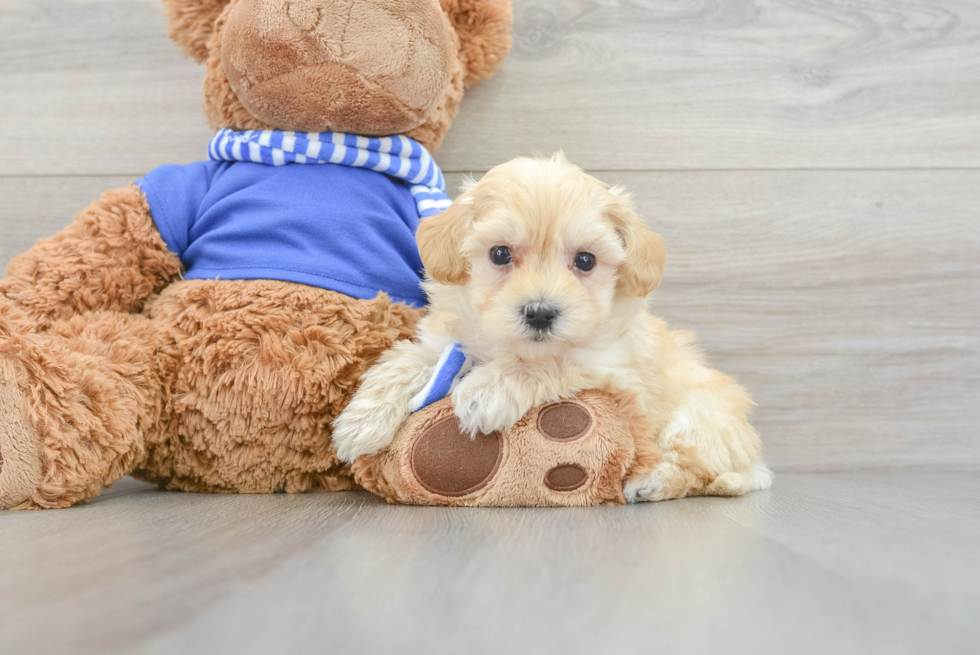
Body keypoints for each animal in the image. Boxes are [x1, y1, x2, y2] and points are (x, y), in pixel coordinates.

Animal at [334, 154, 772, 502]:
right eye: (500, 254)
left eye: (585, 260)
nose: (541, 313)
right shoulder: (446, 341)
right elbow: (405, 361)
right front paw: (361, 421)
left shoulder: (609, 368)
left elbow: (549, 362)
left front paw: (487, 390)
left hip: (698, 421)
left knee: (698, 471)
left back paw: (652, 482)